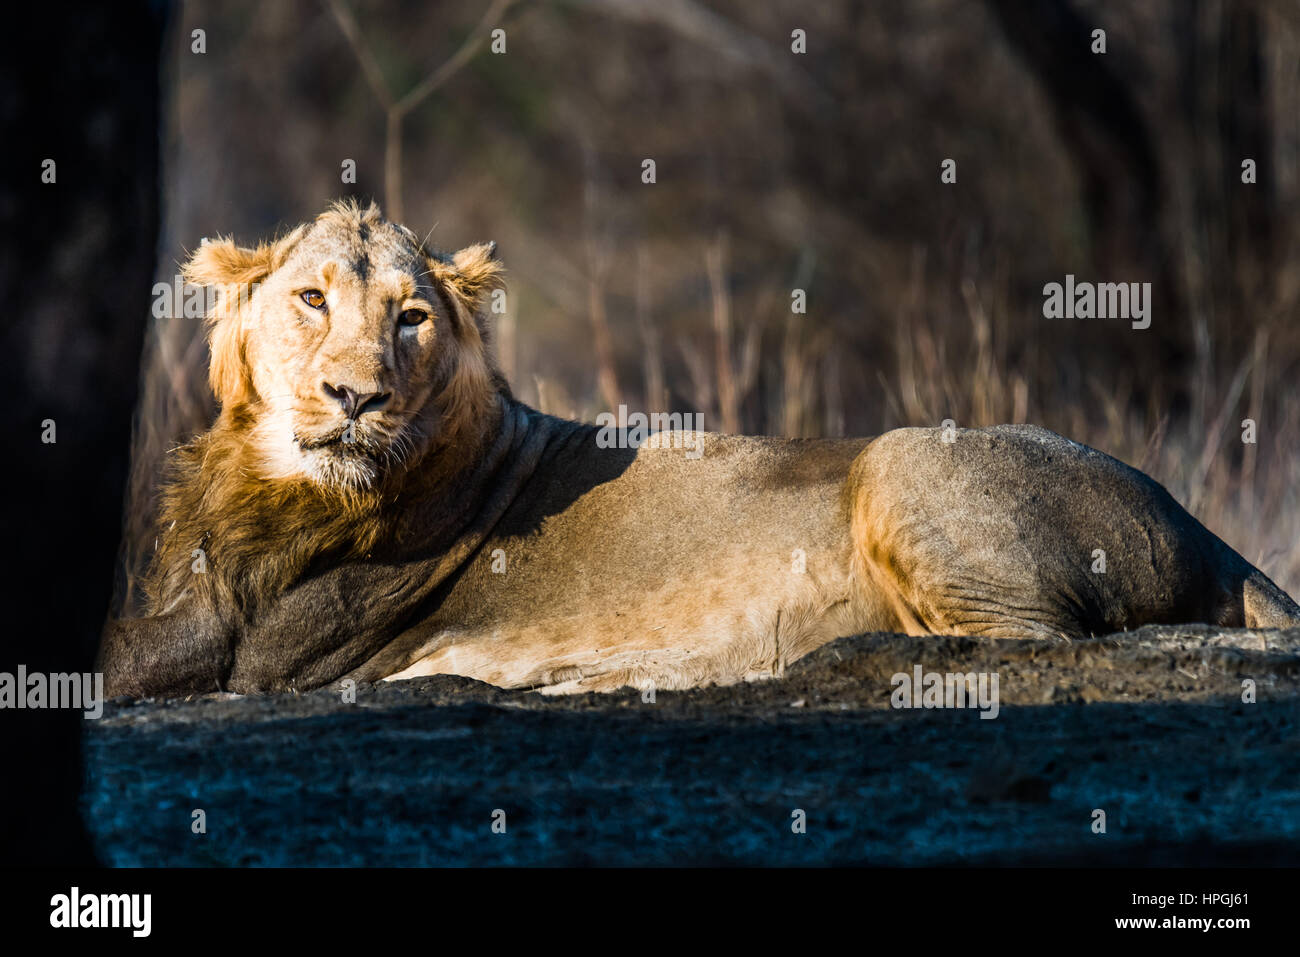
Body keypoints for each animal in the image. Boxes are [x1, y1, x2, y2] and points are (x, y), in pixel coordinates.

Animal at [101, 200, 1300, 696]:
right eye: (310, 300)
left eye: (411, 318)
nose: (355, 397)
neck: (276, 483)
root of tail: (1211, 533)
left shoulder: (259, 650)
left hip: (904, 458)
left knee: (1032, 645)